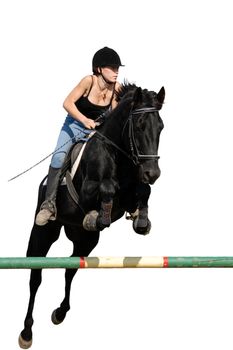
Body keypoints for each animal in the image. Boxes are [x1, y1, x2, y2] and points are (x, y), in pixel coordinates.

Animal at [18, 82, 165, 348]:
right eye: (139, 126)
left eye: (161, 127)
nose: (153, 173)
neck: (118, 153)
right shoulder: (87, 190)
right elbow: (107, 187)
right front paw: (97, 215)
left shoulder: (131, 190)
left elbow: (142, 191)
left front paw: (141, 221)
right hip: (42, 234)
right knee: (35, 276)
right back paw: (26, 333)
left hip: (85, 241)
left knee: (70, 269)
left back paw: (60, 312)